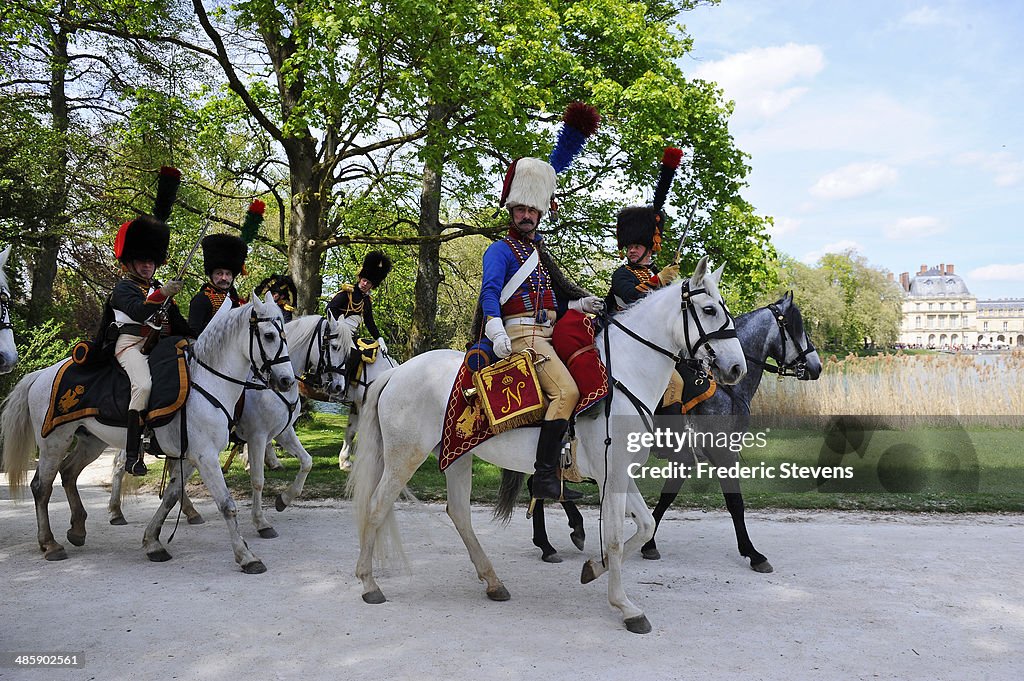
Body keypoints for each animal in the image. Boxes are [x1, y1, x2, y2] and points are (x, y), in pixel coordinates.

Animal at [1, 294, 296, 569]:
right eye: (269, 335)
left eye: (284, 334)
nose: (286, 381)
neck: (208, 381)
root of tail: (41, 374)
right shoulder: (207, 456)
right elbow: (226, 504)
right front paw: (246, 556)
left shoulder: (190, 457)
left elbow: (171, 496)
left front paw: (153, 542)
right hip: (54, 441)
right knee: (41, 486)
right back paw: (50, 543)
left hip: (91, 442)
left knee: (69, 473)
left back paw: (77, 529)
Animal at [108, 313, 354, 536]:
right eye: (334, 346)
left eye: (348, 351)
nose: (339, 387)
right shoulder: (257, 436)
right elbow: (258, 479)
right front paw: (261, 522)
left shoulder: (283, 432)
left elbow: (307, 462)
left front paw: (284, 499)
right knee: (121, 464)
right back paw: (116, 512)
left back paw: (189, 511)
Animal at [350, 256, 745, 630]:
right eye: (709, 309)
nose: (736, 368)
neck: (623, 373)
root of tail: (395, 373)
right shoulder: (613, 475)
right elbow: (616, 537)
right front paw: (625, 606)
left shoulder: (618, 474)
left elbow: (644, 525)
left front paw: (594, 568)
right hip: (405, 456)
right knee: (376, 505)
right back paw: (368, 584)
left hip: (456, 456)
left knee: (459, 513)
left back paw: (493, 582)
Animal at [528, 292, 823, 569]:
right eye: (795, 326)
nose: (816, 366)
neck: (725, 389)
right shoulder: (721, 454)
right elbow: (734, 503)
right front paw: (753, 553)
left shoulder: (687, 459)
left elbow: (667, 497)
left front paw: (648, 544)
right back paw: (555, 539)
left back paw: (558, 537)